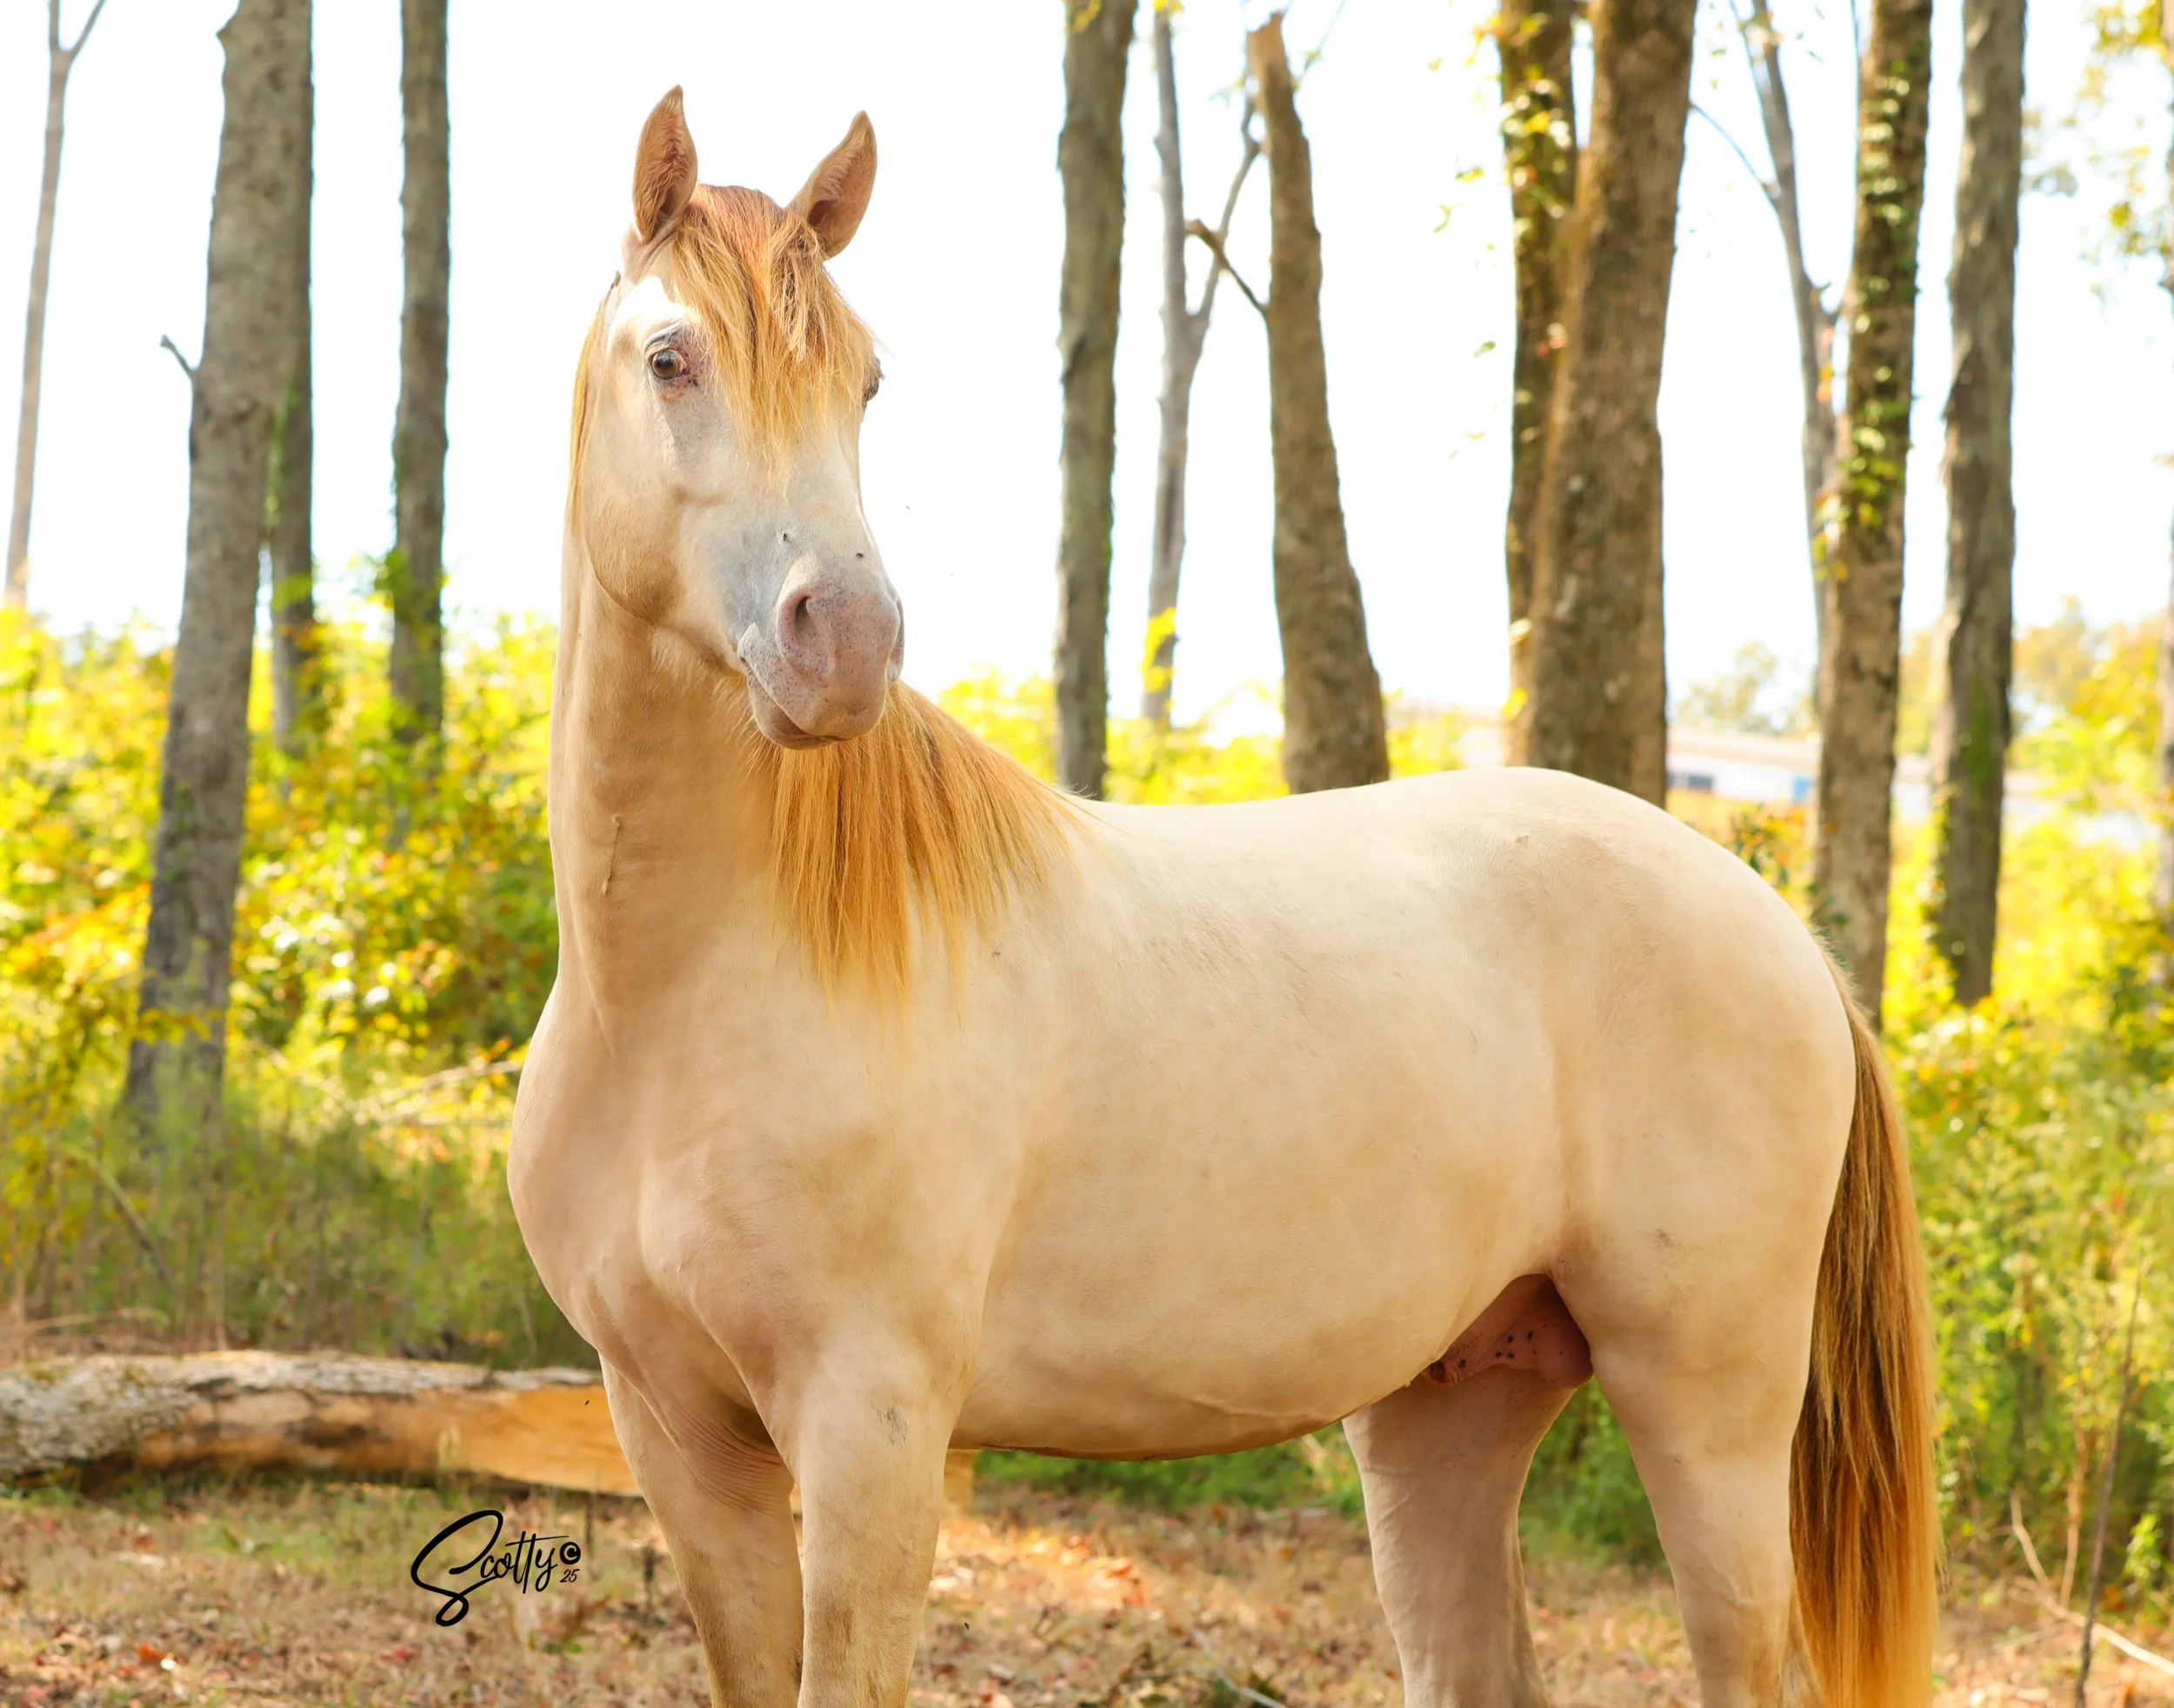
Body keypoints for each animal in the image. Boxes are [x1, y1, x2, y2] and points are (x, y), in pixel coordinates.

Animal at [509, 87, 1938, 1708]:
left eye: (865, 380)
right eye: (669, 357)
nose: (849, 642)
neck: (682, 997)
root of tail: (1785, 939)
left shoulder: (869, 1430)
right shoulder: (674, 1431)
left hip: (1709, 1411)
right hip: (1451, 1409)